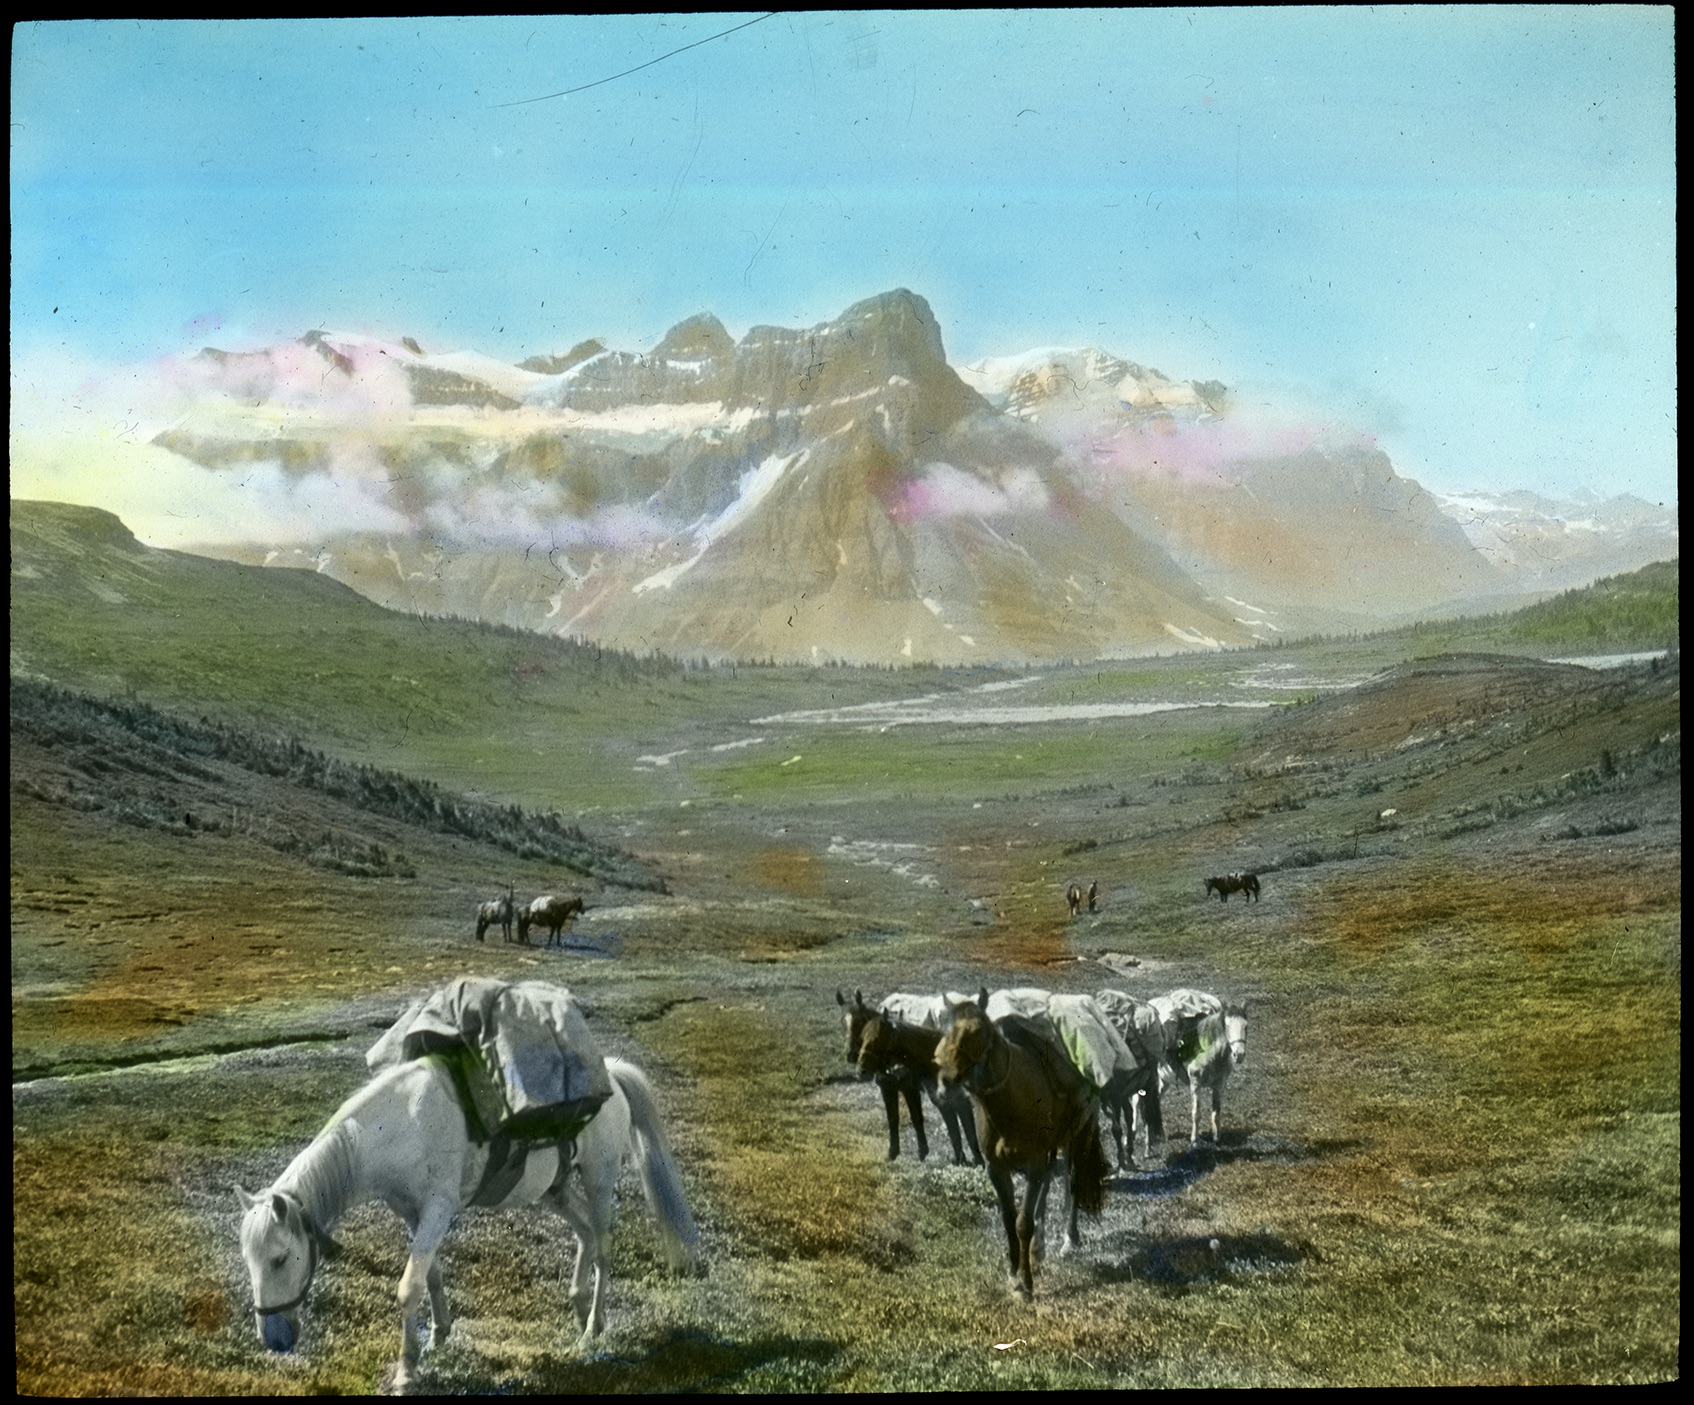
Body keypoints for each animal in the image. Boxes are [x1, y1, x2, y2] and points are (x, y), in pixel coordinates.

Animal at [234, 1054, 698, 1393]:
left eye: (279, 1259)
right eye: (248, 1261)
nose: (273, 1339)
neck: (403, 1126)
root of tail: (612, 1075)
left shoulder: (438, 1210)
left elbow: (409, 1288)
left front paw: (407, 1370)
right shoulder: (413, 1213)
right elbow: (431, 1275)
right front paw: (438, 1335)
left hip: (599, 1180)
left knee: (602, 1248)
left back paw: (592, 1328)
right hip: (555, 1190)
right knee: (584, 1235)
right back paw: (579, 1304)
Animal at [853, 1006, 984, 1167]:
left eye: (878, 1038)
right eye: (862, 1037)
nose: (861, 1072)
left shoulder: (913, 1089)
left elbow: (918, 1118)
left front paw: (922, 1152)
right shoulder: (890, 1089)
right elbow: (893, 1119)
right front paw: (893, 1153)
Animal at [934, 989, 1110, 1298]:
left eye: (977, 1031)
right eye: (943, 1026)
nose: (945, 1084)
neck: (1011, 1099)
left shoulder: (1035, 1161)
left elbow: (1023, 1222)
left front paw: (1026, 1284)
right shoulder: (996, 1168)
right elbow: (1009, 1219)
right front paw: (1014, 1272)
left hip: (1077, 1139)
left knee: (1073, 1185)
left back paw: (1069, 1239)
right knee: (1048, 1186)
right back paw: (1039, 1247)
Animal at [1149, 988, 1250, 1143]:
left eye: (1246, 1026)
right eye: (1227, 1026)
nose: (1239, 1055)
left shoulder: (1219, 1086)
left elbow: (1216, 1113)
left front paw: (1216, 1139)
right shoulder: (1195, 1084)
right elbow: (1196, 1113)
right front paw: (1194, 1141)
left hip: (1163, 1081)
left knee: (1155, 1101)